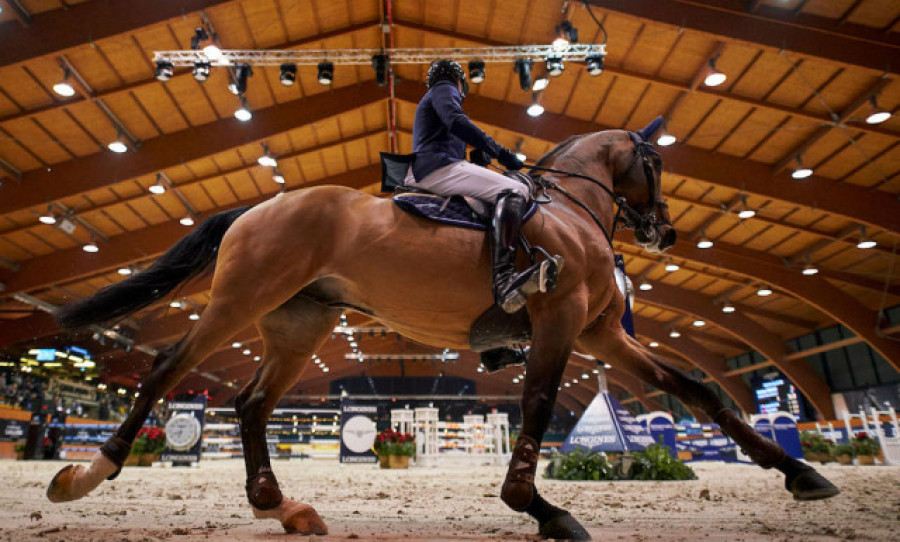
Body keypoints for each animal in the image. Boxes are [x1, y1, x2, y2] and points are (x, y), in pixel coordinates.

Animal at [44, 118, 836, 540]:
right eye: (656, 161)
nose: (665, 231)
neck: (568, 209)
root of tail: (255, 208)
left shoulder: (604, 335)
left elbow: (700, 394)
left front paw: (801, 473)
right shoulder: (558, 322)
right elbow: (538, 406)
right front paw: (541, 509)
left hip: (298, 324)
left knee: (250, 404)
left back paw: (283, 505)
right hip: (237, 304)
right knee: (168, 372)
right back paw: (86, 474)